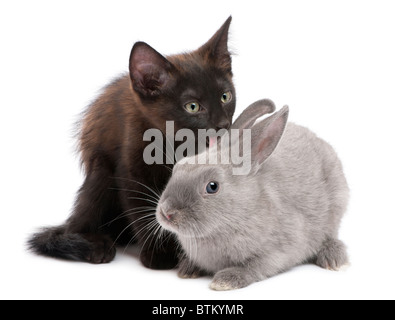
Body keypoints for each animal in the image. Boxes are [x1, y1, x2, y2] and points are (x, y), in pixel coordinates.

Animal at [155, 98, 350, 290]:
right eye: (178, 166)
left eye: (212, 187)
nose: (167, 212)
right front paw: (187, 269)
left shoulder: (280, 250)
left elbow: (255, 267)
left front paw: (224, 281)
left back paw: (335, 260)